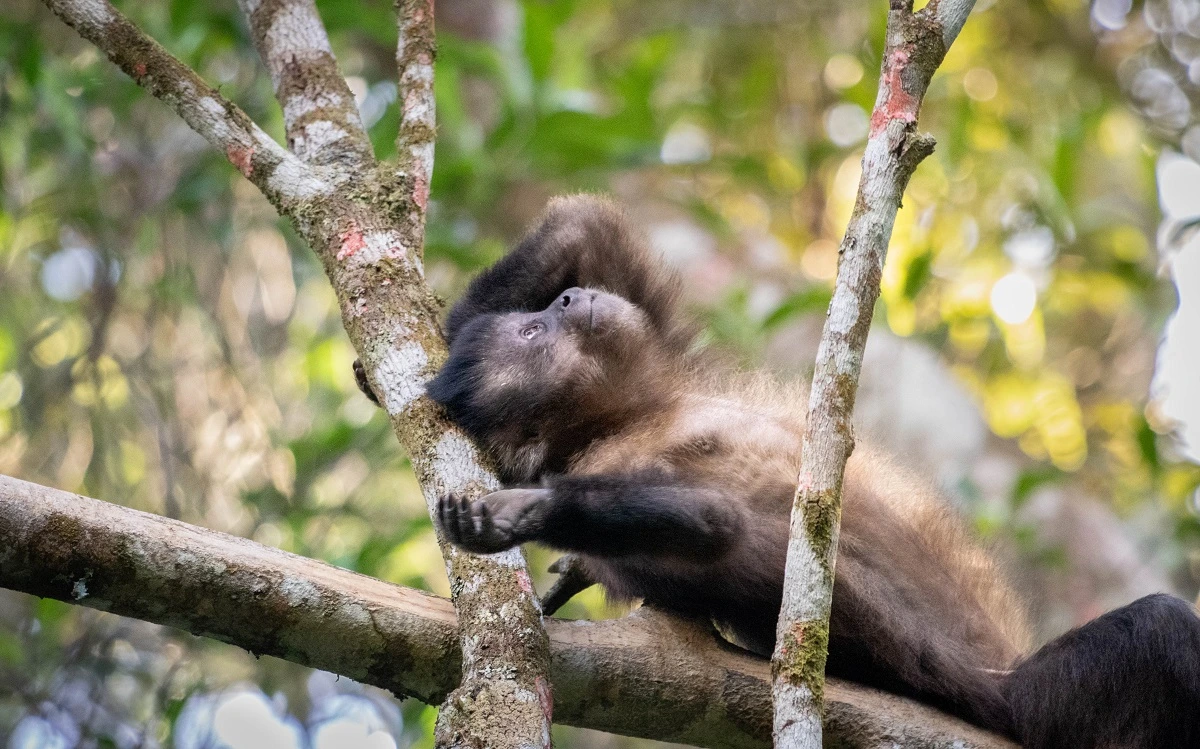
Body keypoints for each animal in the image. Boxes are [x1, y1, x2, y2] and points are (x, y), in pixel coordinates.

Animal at [355, 195, 1200, 744]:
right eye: (532, 333)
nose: (565, 299)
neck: (625, 418)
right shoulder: (623, 461)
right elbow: (712, 525)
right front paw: (523, 514)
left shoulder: (655, 355)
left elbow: (589, 222)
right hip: (1037, 704)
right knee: (1162, 628)